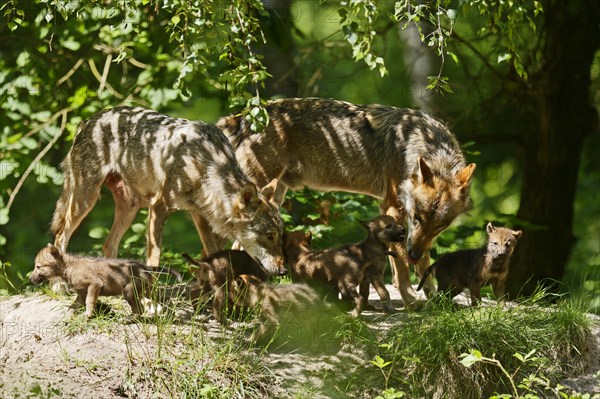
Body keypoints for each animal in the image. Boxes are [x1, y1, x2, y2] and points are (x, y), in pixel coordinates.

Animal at [51, 105, 286, 276]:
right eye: (269, 235)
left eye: (279, 236)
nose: (284, 271)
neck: (205, 165)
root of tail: (88, 121)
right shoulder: (159, 207)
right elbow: (155, 257)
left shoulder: (198, 215)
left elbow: (213, 253)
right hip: (86, 200)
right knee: (60, 237)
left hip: (130, 208)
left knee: (108, 245)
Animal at [216, 97, 474, 310]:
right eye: (416, 217)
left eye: (440, 226)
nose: (415, 253)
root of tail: (242, 118)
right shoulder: (393, 208)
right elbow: (401, 266)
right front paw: (410, 299)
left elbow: (424, 264)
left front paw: (433, 296)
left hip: (273, 199)